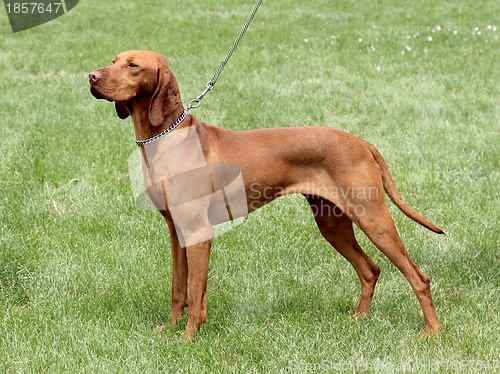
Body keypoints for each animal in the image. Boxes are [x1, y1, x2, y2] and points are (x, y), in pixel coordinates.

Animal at [89, 50, 442, 342]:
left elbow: (195, 292)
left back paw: (432, 333)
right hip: (332, 224)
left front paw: (188, 339)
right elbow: (179, 289)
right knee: (370, 269)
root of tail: (360, 141)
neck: (168, 139)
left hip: (373, 219)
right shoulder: (178, 232)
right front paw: (172, 330)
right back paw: (358, 319)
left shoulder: (199, 233)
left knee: (419, 277)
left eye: (133, 65)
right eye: (113, 60)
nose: (91, 76)